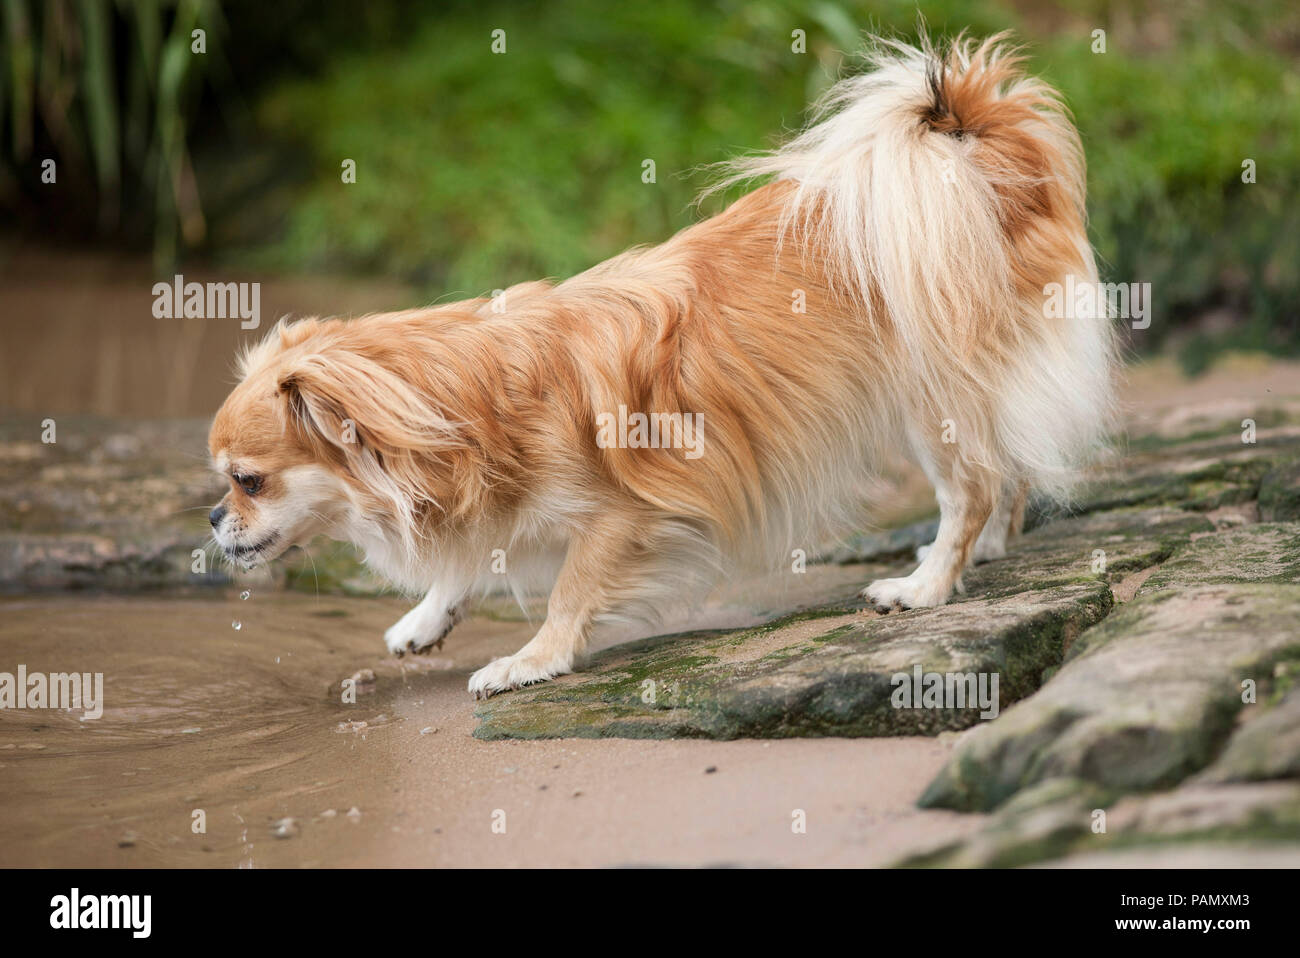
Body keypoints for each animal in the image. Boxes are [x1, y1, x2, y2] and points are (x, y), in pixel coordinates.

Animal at [205, 35, 1118, 696]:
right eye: (225, 486)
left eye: (247, 481)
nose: (213, 519)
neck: (461, 412)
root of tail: (973, 145)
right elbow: (472, 562)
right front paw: (425, 621)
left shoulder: (626, 515)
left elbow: (570, 588)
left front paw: (529, 660)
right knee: (1008, 465)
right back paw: (985, 551)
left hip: (933, 399)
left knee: (971, 486)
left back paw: (927, 584)